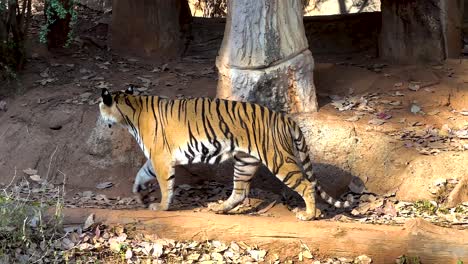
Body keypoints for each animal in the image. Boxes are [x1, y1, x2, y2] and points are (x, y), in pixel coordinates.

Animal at [100, 85, 352, 220]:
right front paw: (138, 191)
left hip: (278, 160)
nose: (100, 118)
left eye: (100, 106)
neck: (131, 107)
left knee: (306, 184)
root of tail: (284, 118)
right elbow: (142, 173)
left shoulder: (161, 157)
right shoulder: (157, 157)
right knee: (239, 192)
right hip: (245, 161)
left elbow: (165, 186)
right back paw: (219, 208)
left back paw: (308, 215)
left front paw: (160, 207)